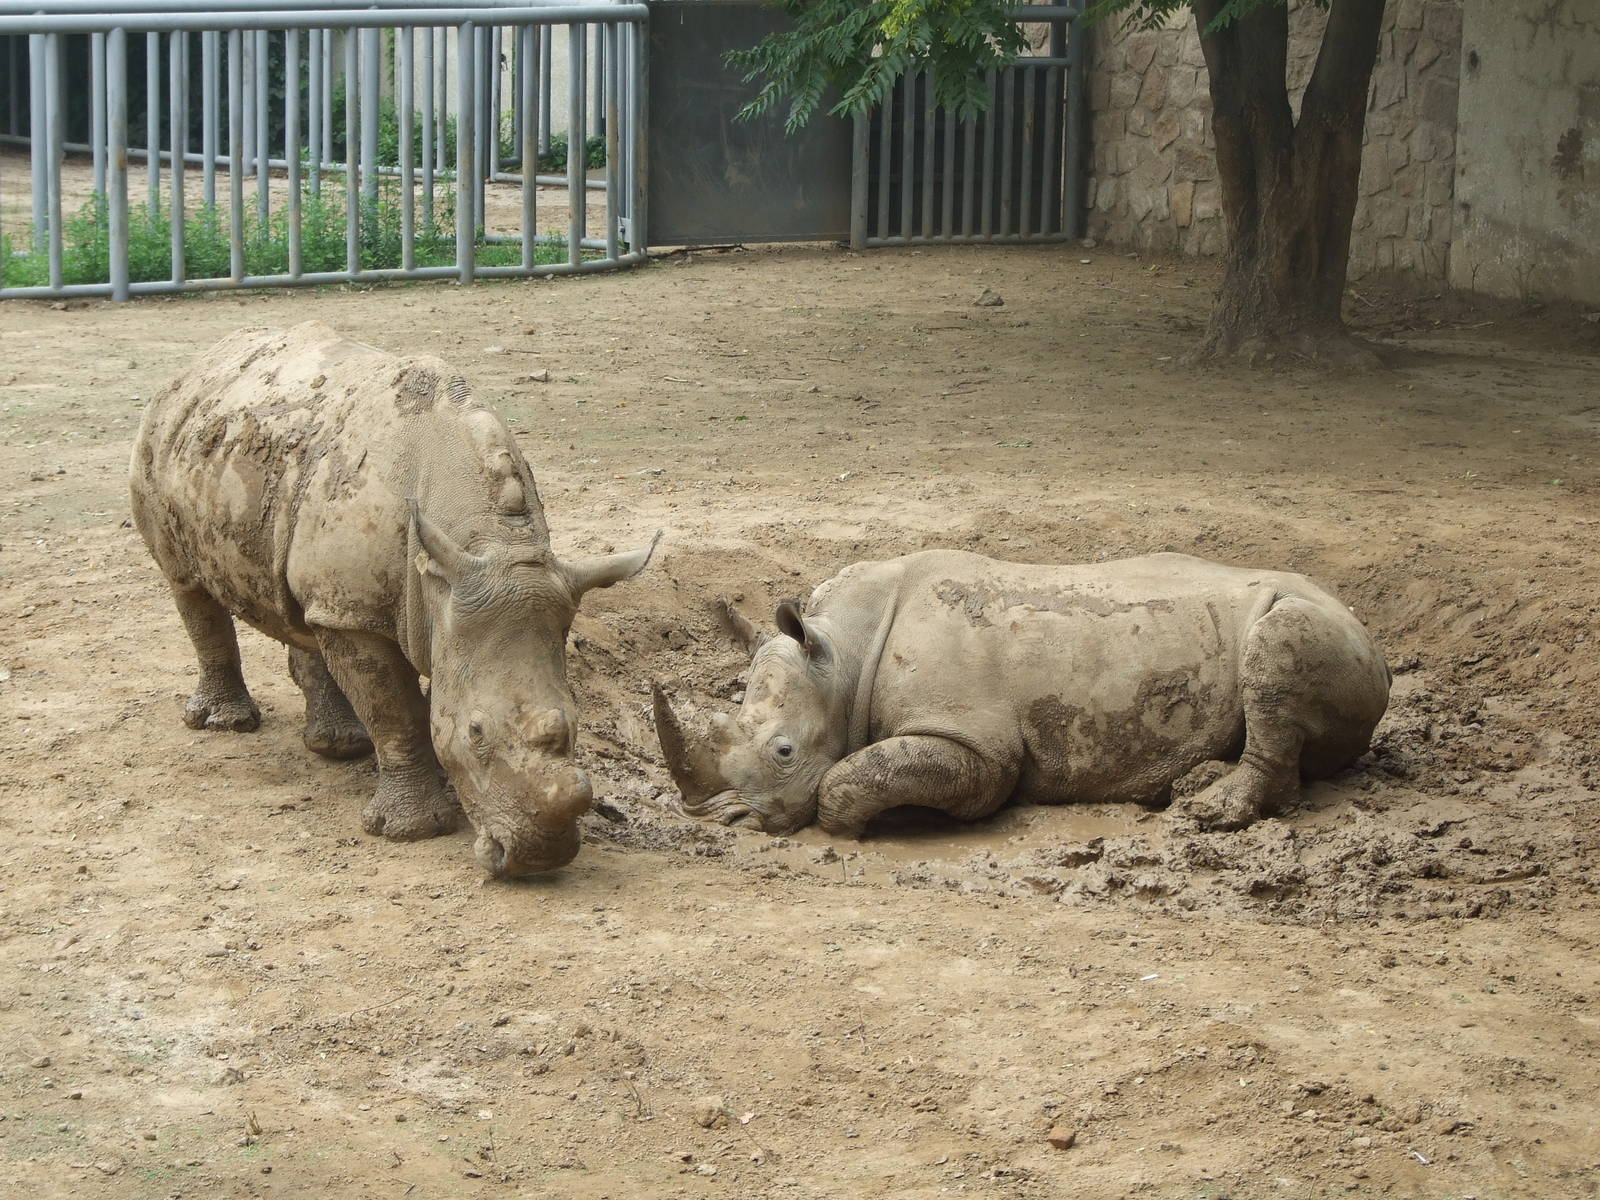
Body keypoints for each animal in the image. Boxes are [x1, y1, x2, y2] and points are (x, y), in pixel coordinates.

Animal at [130, 321, 656, 877]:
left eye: (575, 725)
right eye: (476, 732)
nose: (537, 859)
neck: (489, 544)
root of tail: (199, 364)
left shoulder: (430, 601)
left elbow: (422, 700)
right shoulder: (371, 611)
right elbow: (396, 711)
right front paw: (413, 829)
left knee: (306, 609)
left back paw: (338, 746)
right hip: (162, 443)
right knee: (187, 583)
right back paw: (226, 724)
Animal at [653, 550, 1389, 836]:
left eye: (783, 752)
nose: (714, 817)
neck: (842, 655)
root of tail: (1375, 639)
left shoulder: (978, 746)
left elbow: (851, 777)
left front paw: (856, 826)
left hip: (1312, 620)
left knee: (1278, 646)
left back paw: (1210, 812)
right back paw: (1192, 785)